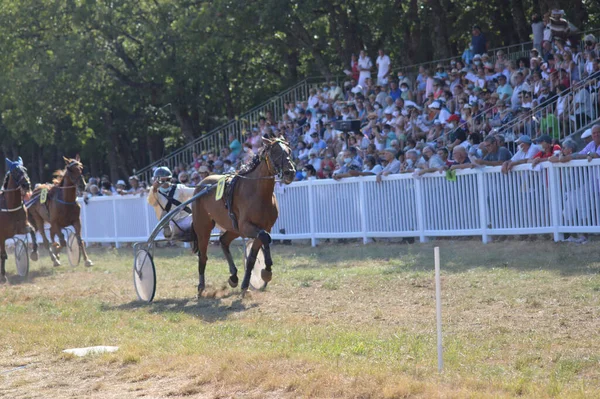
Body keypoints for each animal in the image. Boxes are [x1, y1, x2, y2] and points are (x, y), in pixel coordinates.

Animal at [192, 138, 296, 294]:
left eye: (289, 151)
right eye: (276, 151)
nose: (290, 172)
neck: (258, 193)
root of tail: (201, 183)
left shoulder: (263, 227)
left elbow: (254, 254)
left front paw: (251, 280)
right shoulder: (246, 226)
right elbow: (265, 237)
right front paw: (266, 270)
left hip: (233, 228)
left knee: (223, 241)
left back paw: (234, 276)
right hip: (203, 228)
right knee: (203, 255)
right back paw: (201, 285)